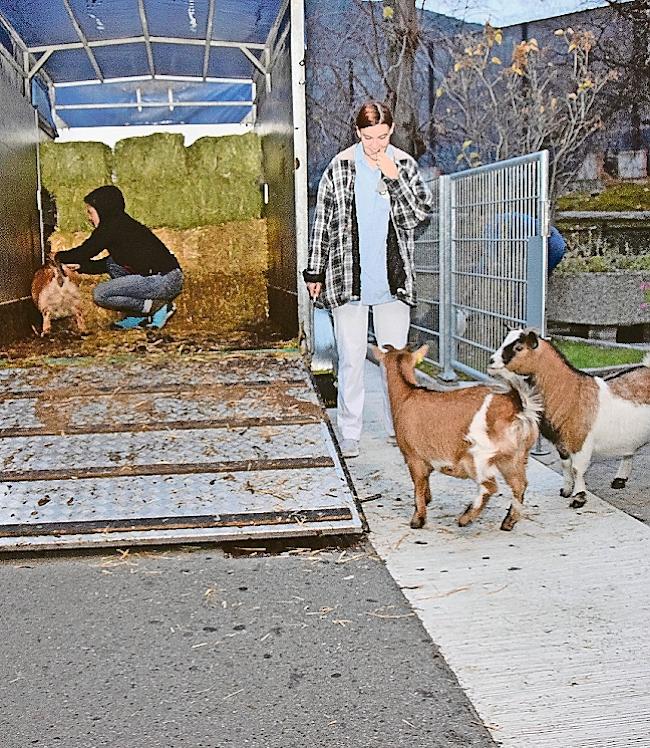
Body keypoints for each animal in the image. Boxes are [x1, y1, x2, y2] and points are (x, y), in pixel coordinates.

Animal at [372, 344, 540, 532]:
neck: (407, 394)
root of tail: (516, 408)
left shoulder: (413, 457)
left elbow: (418, 486)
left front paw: (417, 520)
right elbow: (425, 484)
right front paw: (427, 501)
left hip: (478, 456)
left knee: (489, 486)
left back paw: (465, 518)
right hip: (515, 457)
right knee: (520, 485)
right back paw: (508, 522)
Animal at [488, 332, 644, 512]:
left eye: (518, 348)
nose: (491, 361)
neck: (571, 391)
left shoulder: (580, 441)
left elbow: (577, 469)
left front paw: (578, 498)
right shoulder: (561, 443)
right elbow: (566, 465)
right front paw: (566, 491)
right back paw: (620, 480)